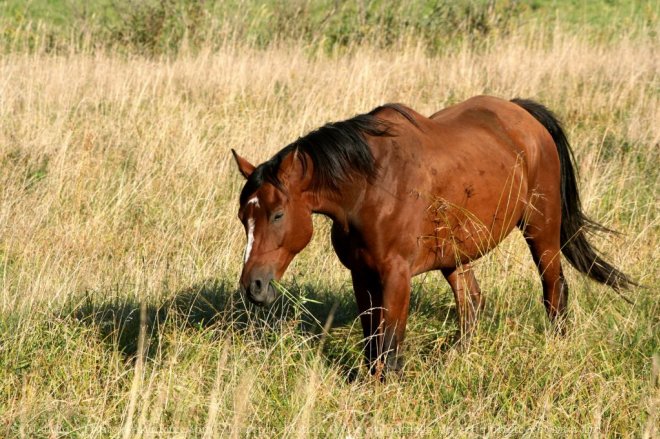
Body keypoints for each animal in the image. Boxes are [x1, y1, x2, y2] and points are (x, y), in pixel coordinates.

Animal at [231, 94, 636, 376]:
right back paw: (455, 358)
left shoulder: (396, 277)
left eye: (278, 214)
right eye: (243, 216)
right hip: (455, 255)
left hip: (542, 232)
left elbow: (389, 345)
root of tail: (523, 115)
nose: (254, 286)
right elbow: (372, 341)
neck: (371, 185)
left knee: (554, 290)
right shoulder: (361, 274)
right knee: (471, 304)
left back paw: (556, 344)